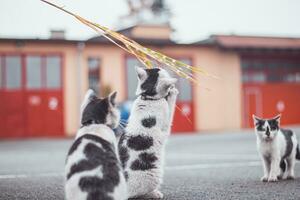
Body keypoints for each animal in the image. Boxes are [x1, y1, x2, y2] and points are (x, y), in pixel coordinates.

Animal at [118, 66, 178, 198]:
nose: (162, 66)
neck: (148, 98)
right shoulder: (166, 124)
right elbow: (170, 106)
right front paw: (173, 91)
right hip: (153, 174)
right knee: (140, 194)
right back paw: (155, 194)